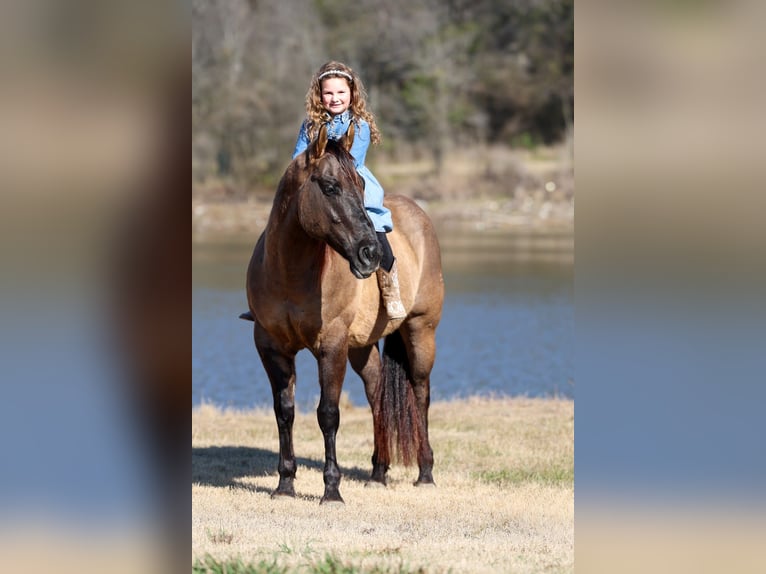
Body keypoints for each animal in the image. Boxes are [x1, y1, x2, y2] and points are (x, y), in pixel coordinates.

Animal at [243, 124, 444, 505]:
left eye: (361, 185)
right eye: (330, 186)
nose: (370, 254)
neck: (291, 273)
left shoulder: (331, 346)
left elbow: (328, 414)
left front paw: (331, 490)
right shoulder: (271, 346)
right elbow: (284, 412)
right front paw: (285, 484)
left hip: (420, 331)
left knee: (421, 393)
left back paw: (425, 473)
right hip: (362, 348)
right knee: (377, 394)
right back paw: (378, 473)